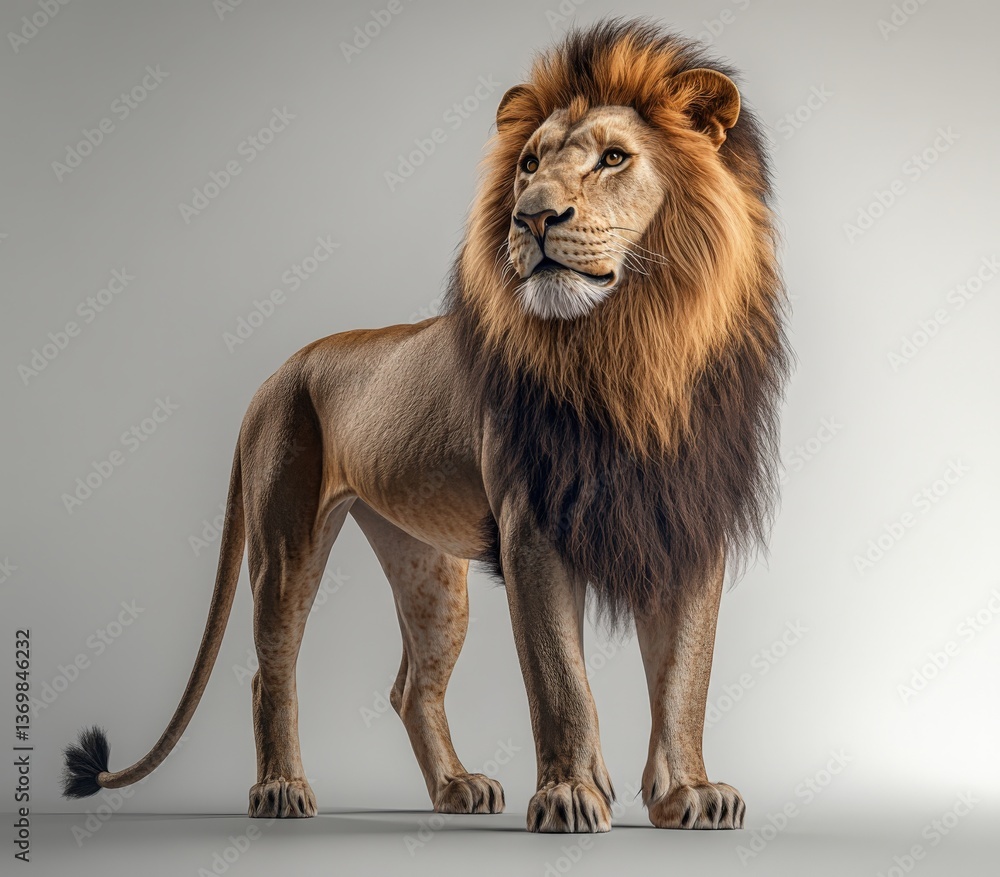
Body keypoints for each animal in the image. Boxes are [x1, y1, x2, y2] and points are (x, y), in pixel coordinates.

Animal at [62, 19, 788, 833]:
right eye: (529, 164)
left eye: (613, 158)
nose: (532, 216)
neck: (631, 344)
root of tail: (276, 373)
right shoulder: (532, 528)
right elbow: (561, 681)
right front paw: (570, 793)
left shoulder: (690, 524)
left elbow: (686, 676)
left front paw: (688, 793)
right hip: (285, 539)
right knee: (269, 671)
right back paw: (280, 791)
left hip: (430, 569)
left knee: (411, 685)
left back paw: (457, 788)